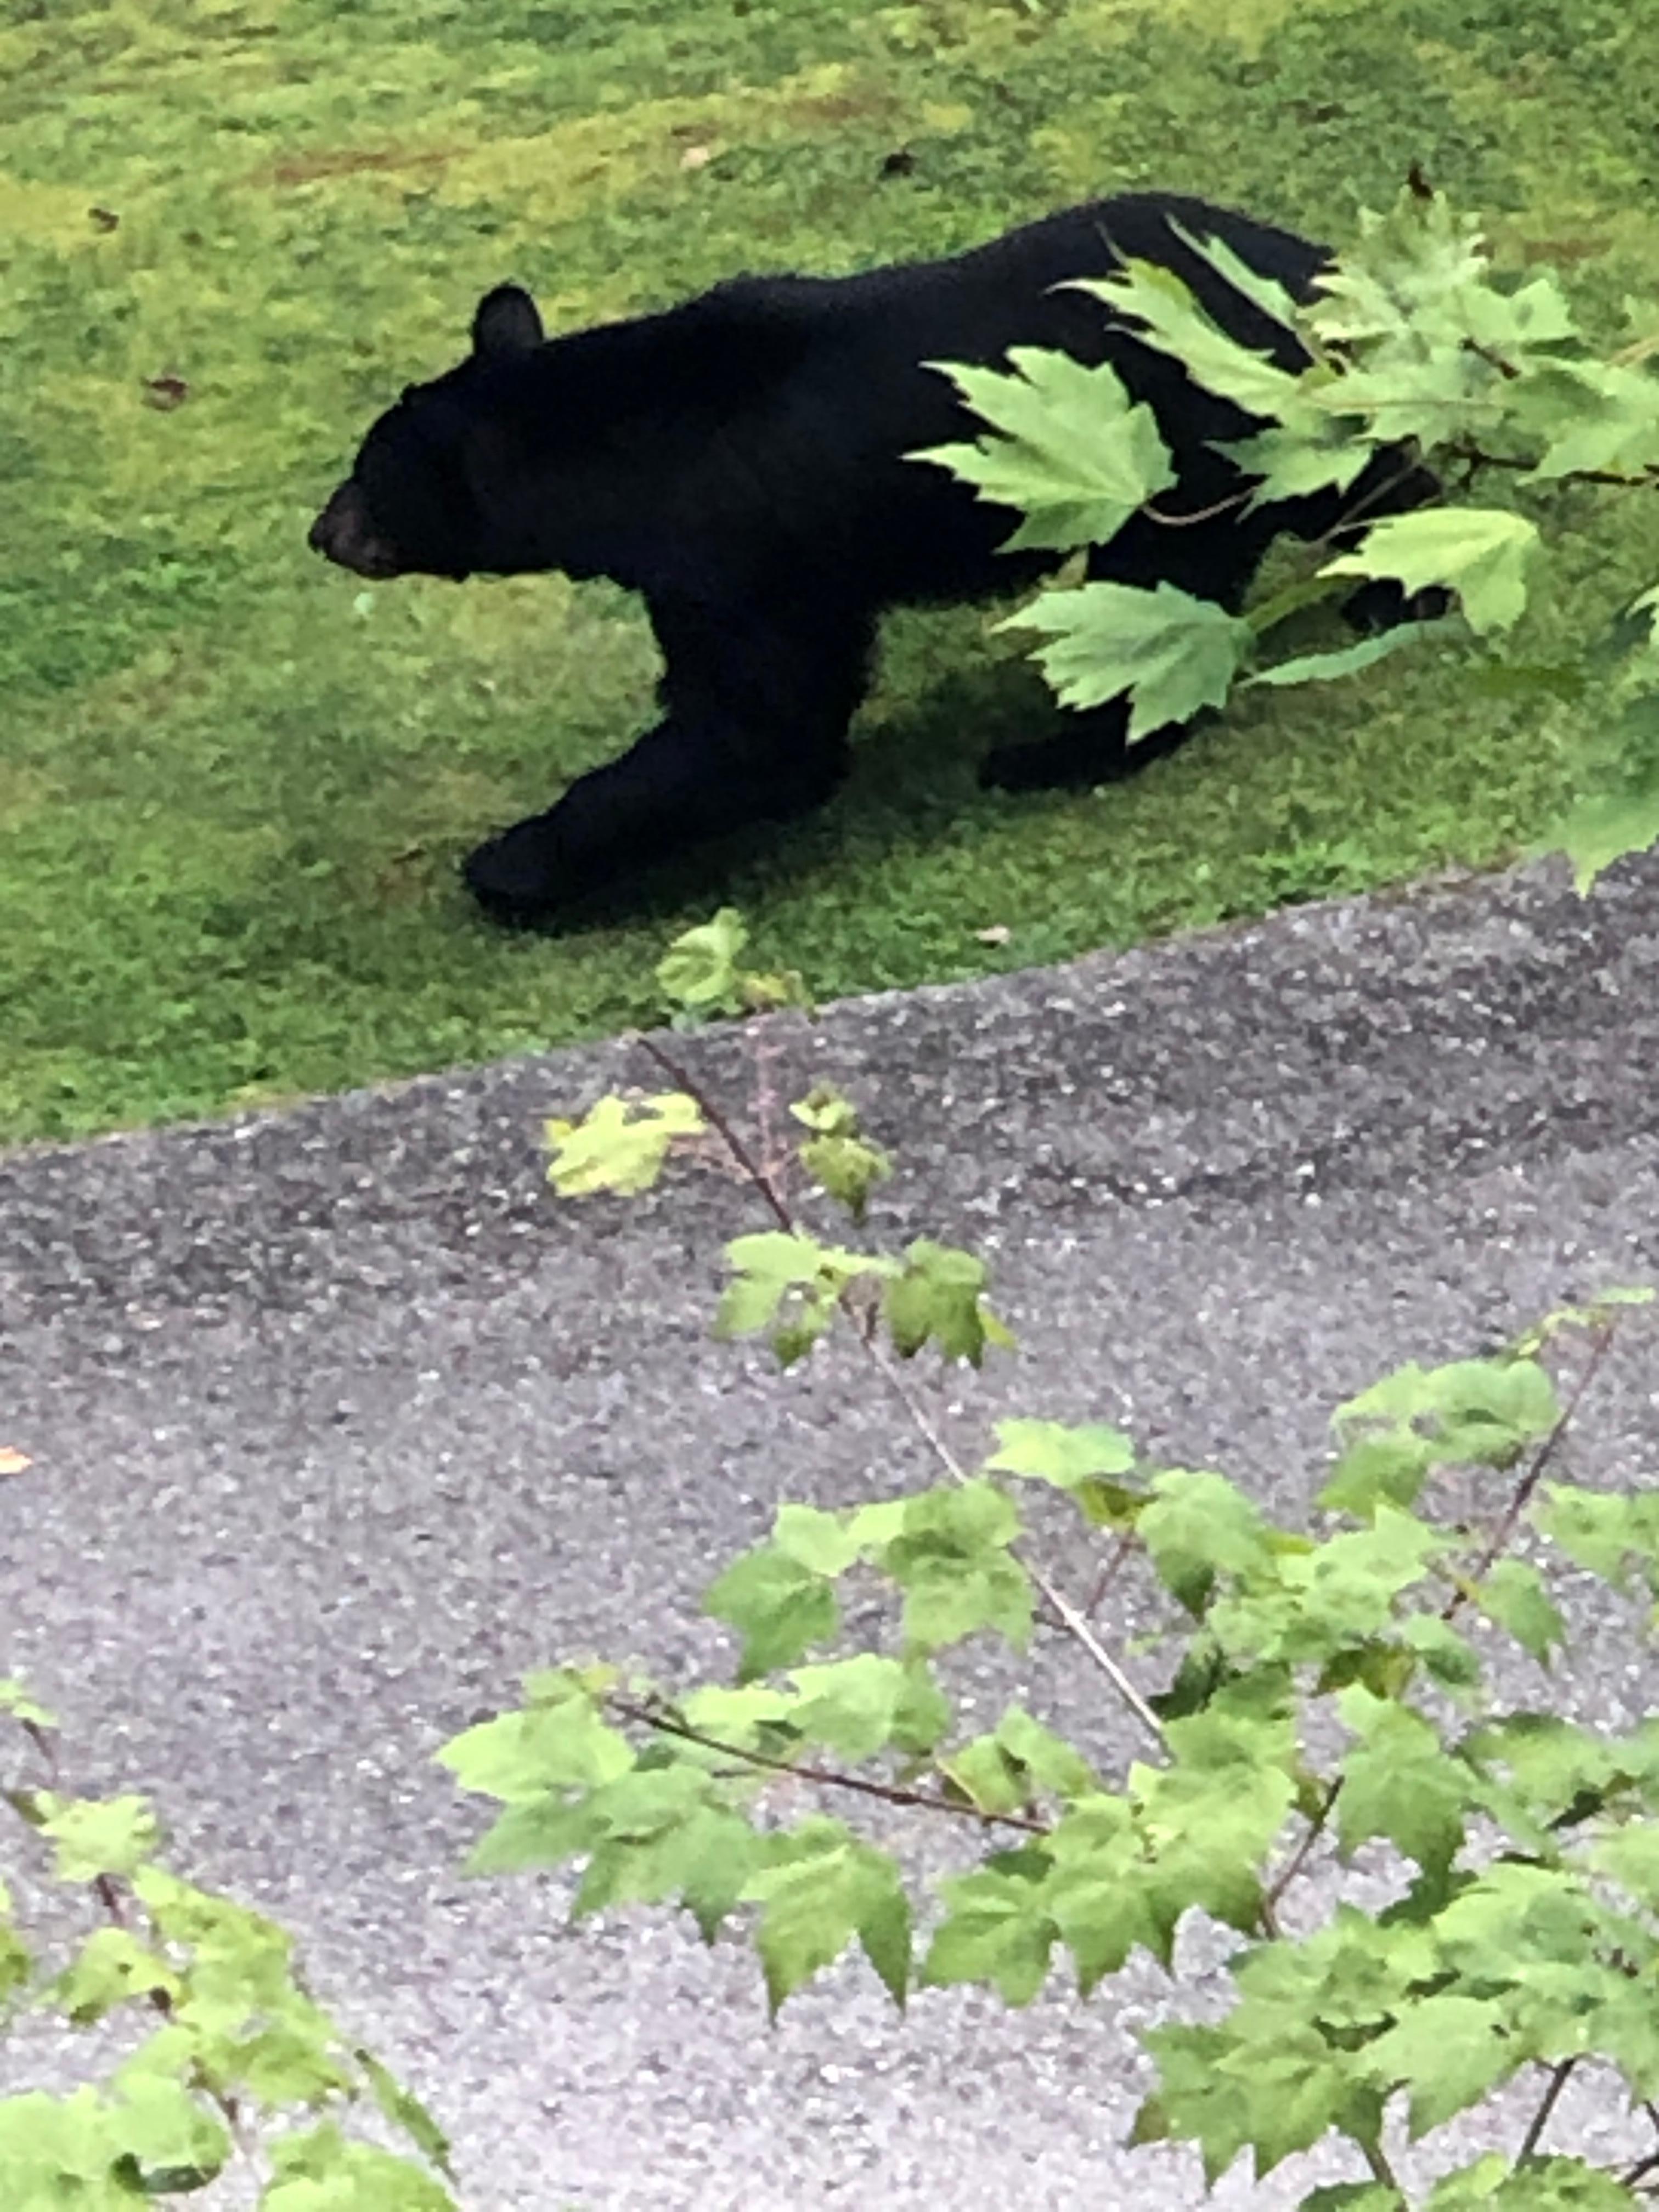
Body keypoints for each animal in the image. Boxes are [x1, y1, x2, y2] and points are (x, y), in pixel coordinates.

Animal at [308, 193, 1439, 927]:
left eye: (367, 475)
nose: (322, 531)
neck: (616, 455)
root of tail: (1302, 268)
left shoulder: (735, 544)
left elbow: (759, 722)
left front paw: (514, 867)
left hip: (1179, 445)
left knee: (1161, 603)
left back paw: (1049, 753)